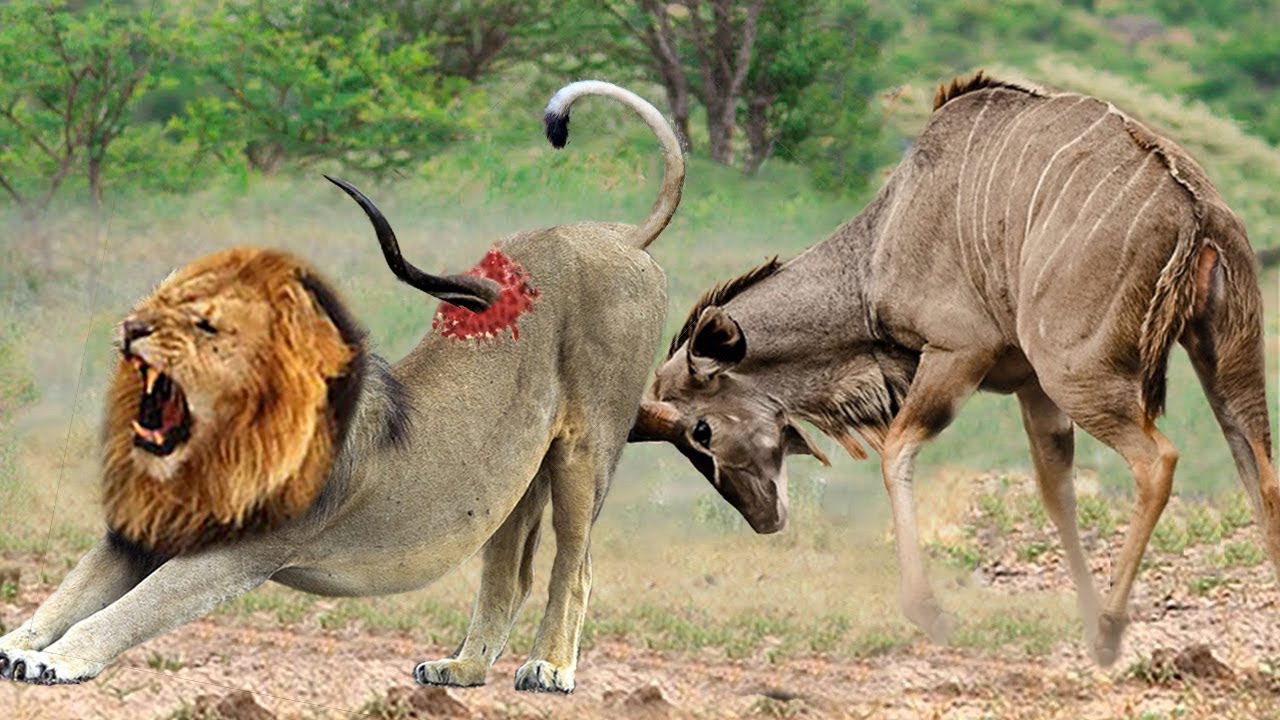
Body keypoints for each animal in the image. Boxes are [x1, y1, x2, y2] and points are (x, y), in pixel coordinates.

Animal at [0, 80, 683, 694]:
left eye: (208, 324)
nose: (134, 332)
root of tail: (617, 235)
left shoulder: (238, 556)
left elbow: (124, 613)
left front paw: (56, 660)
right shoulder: (135, 535)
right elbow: (68, 594)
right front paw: (18, 643)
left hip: (585, 452)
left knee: (576, 564)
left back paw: (550, 667)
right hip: (514, 480)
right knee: (508, 575)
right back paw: (461, 669)